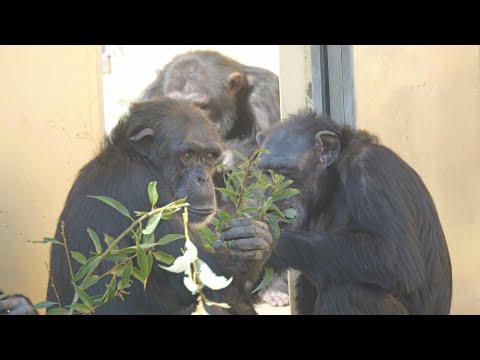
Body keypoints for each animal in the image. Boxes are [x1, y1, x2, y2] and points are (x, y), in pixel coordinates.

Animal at [47, 98, 276, 316]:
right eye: (187, 156)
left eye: (208, 157)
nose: (203, 179)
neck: (144, 162)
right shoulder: (150, 199)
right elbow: (215, 283)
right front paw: (253, 244)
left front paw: (256, 237)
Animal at [249, 110, 452, 316]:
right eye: (265, 174)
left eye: (286, 173)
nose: (270, 195)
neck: (334, 179)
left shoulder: (371, 171)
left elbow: (395, 254)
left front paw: (270, 243)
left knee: (348, 292)